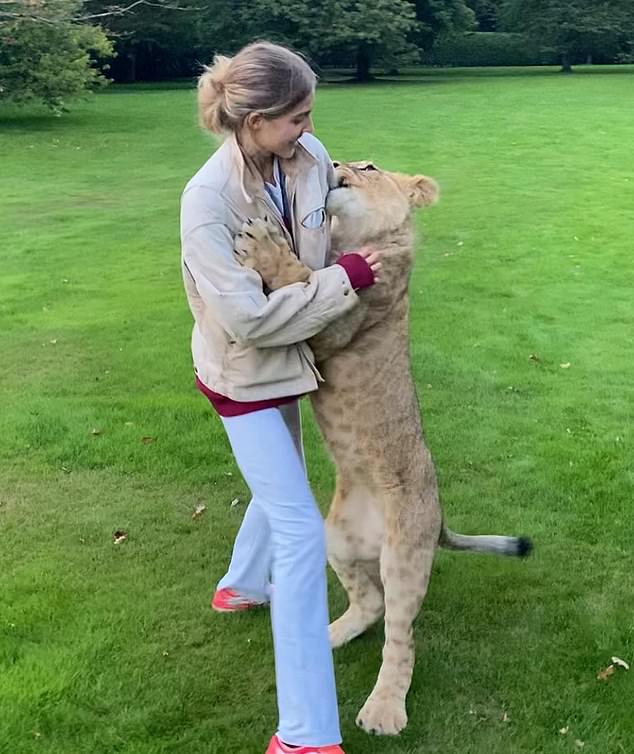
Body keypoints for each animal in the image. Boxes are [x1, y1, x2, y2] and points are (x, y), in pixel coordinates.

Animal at [232, 160, 528, 736]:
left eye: (368, 167)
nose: (335, 165)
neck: (357, 238)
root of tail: (439, 518)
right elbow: (310, 271)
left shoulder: (335, 324)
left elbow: (304, 280)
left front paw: (263, 242)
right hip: (337, 537)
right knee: (369, 603)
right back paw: (330, 634)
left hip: (404, 554)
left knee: (401, 635)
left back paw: (384, 710)